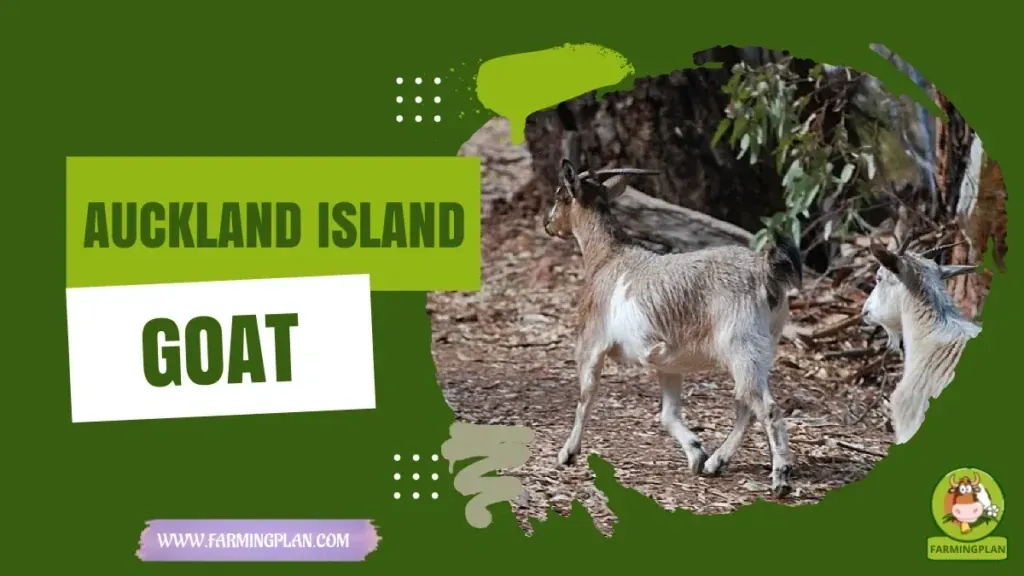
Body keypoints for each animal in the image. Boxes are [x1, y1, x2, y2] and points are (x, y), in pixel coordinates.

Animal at [542, 155, 803, 498]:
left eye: (560, 195)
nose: (547, 224)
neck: (608, 259)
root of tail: (765, 269)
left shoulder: (591, 343)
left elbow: (585, 397)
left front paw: (567, 453)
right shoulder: (667, 362)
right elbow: (667, 414)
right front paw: (695, 452)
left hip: (741, 343)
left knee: (765, 407)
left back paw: (780, 478)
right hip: (763, 345)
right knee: (746, 405)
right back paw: (716, 462)